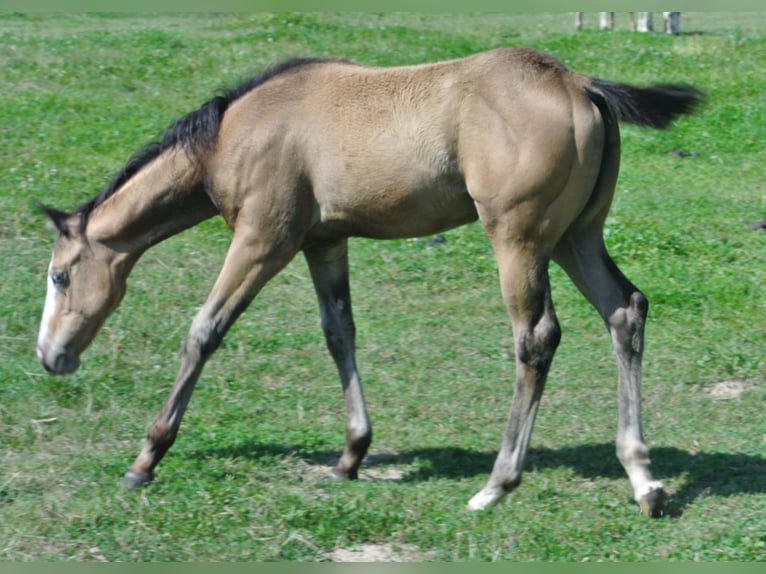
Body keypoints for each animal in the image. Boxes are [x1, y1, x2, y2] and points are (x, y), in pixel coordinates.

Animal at [37, 48, 708, 516]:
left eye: (60, 275)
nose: (50, 356)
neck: (235, 134)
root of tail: (577, 84)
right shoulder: (324, 242)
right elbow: (340, 332)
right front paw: (350, 454)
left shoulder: (263, 240)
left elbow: (205, 330)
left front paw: (146, 458)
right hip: (576, 236)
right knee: (625, 310)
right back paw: (643, 478)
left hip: (518, 239)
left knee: (537, 337)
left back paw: (496, 485)